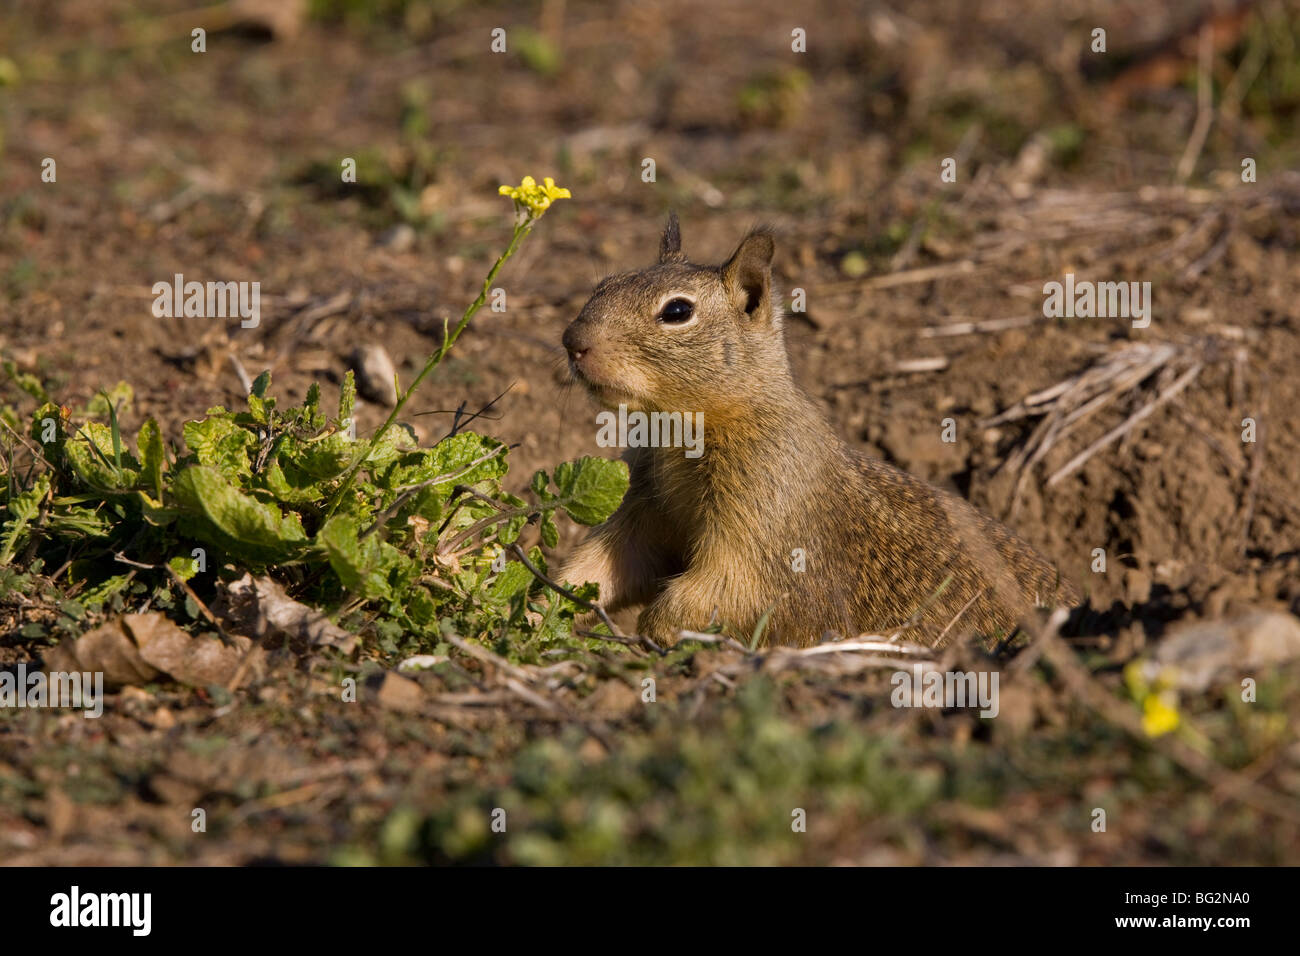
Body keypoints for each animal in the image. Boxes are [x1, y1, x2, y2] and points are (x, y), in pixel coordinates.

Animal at [559, 214, 1076, 650]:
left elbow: (730, 585)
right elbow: (608, 562)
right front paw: (553, 601)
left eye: (677, 311)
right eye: (603, 285)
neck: (681, 430)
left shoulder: (764, 516)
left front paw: (654, 629)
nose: (571, 341)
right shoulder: (641, 503)